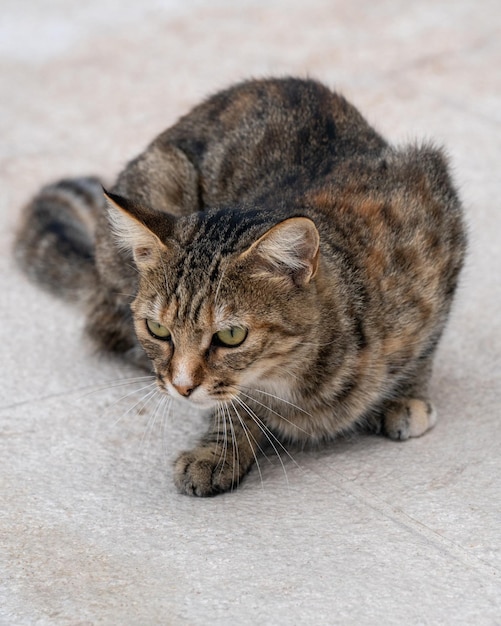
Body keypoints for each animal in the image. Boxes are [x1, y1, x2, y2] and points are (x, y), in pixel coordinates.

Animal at [14, 78, 464, 494]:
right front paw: (220, 448)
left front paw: (405, 395)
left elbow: (427, 342)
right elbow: (234, 403)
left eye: (230, 336)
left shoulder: (433, 206)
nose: (181, 387)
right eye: (157, 329)